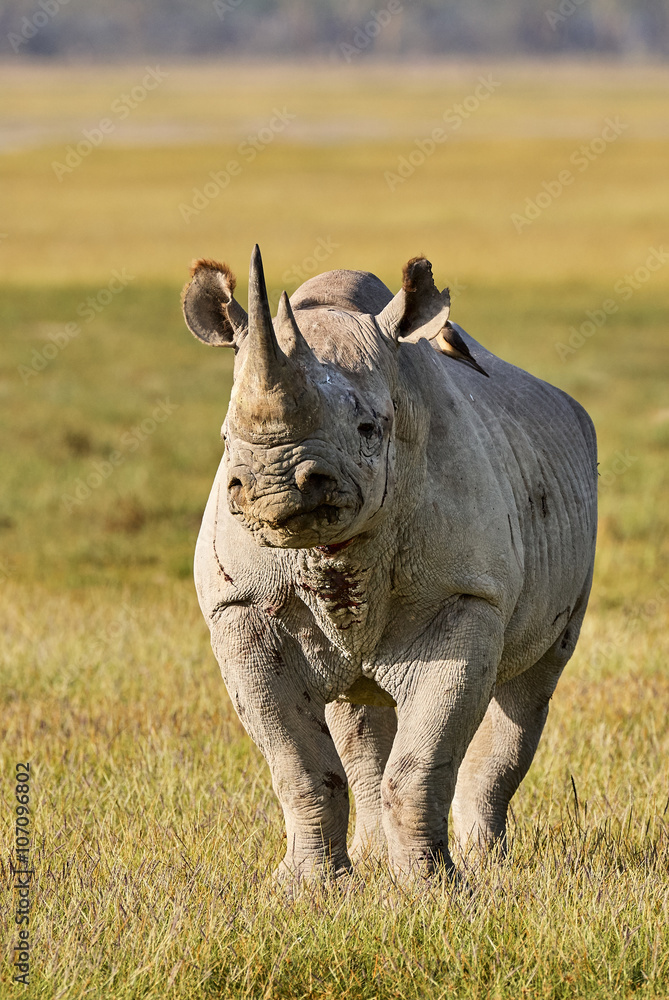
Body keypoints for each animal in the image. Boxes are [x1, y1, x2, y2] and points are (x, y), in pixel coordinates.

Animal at [182, 246, 597, 883]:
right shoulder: (240, 604)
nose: (274, 486)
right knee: (356, 711)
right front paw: (309, 889)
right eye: (227, 437)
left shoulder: (465, 594)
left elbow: (423, 762)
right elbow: (297, 762)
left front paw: (433, 888)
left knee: (534, 683)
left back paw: (486, 864)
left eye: (368, 429)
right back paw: (376, 857)